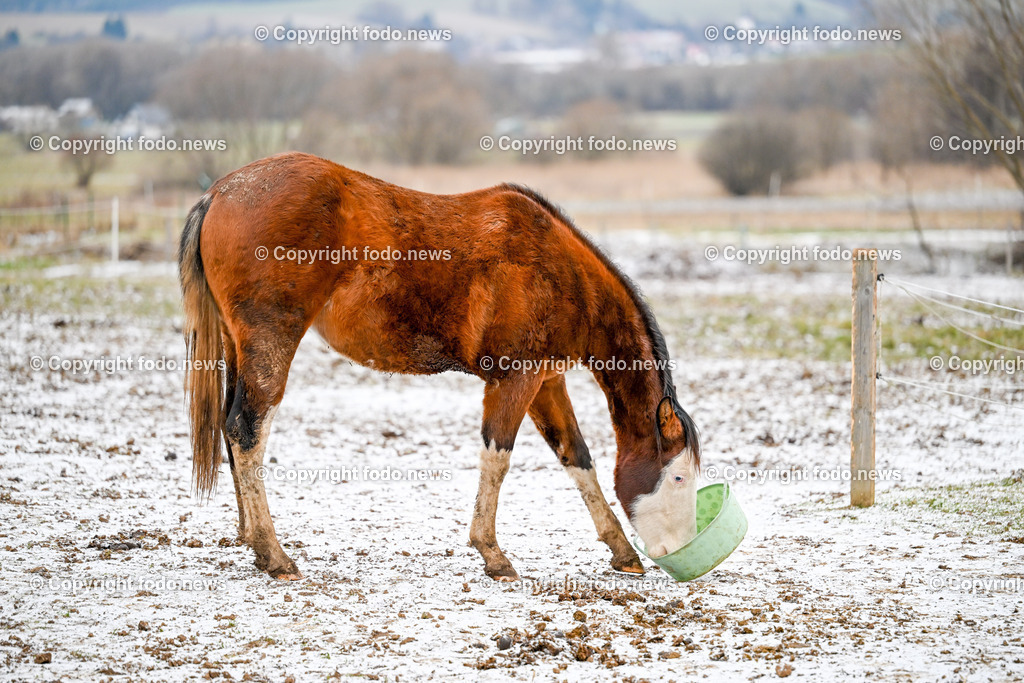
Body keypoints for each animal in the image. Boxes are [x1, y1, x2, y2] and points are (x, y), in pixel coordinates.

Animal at [179, 152, 701, 581]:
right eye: (677, 476)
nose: (682, 553)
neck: (562, 274)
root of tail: (218, 193)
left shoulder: (546, 383)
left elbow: (578, 459)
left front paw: (621, 551)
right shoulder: (515, 380)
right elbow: (498, 458)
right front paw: (493, 554)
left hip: (238, 349)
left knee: (231, 429)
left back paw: (252, 540)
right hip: (271, 344)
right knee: (247, 432)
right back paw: (274, 555)